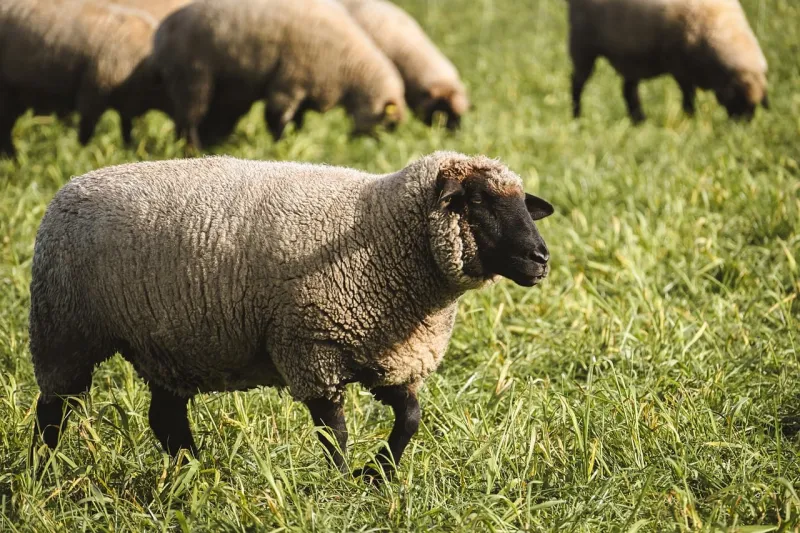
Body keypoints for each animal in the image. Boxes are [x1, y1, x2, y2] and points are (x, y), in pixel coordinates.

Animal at [0, 0, 169, 156]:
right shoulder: (92, 95)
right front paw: (82, 153)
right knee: (5, 129)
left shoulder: (126, 102)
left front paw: (128, 151)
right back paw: (12, 157)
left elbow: (126, 130)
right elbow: (86, 134)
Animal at [29, 151, 554, 480]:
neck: (381, 231)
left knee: (166, 418)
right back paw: (42, 475)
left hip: (167, 344)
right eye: (478, 200)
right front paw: (342, 485)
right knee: (53, 409)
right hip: (65, 330)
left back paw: (197, 473)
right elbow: (334, 432)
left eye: (524, 205)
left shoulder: (387, 356)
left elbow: (410, 419)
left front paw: (377, 475)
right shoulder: (311, 347)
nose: (541, 258)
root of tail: (67, 189)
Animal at [152, 0, 407, 149]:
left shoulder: (306, 87)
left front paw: (293, 141)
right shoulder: (290, 79)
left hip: (226, 86)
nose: (375, 147)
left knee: (212, 118)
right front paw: (280, 146)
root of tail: (161, 31)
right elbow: (277, 118)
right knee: (189, 119)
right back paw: (193, 149)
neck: (349, 66)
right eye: (389, 124)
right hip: (193, 77)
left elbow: (297, 121)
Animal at [567, 0, 769, 122]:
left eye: (755, 106)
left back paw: (639, 120)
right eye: (738, 101)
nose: (742, 126)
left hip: (630, 54)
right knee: (577, 83)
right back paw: (577, 115)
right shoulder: (681, 67)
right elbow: (688, 95)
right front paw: (690, 117)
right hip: (583, 45)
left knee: (628, 90)